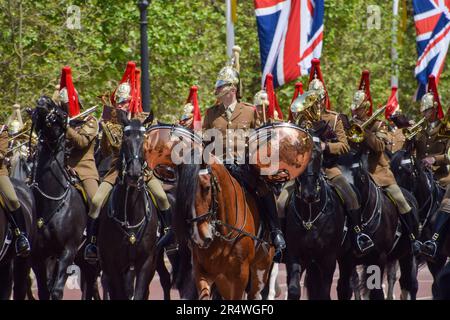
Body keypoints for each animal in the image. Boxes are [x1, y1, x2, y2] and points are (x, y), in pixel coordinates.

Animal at [29, 97, 88, 300]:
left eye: (62, 114)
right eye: (35, 112)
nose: (43, 100)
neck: (51, 200)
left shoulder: (67, 251)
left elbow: (55, 291)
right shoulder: (39, 255)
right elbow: (44, 291)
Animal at [98, 118, 158, 300]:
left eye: (144, 140)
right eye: (125, 139)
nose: (134, 173)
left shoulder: (146, 262)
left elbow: (138, 293)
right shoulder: (112, 264)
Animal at [175, 162, 274, 300]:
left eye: (207, 188)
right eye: (184, 193)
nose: (200, 236)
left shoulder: (240, 275)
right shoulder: (202, 271)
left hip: (261, 269)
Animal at [286, 138, 346, 300]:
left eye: (319, 155)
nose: (309, 194)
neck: (310, 215)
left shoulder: (328, 257)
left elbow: (324, 293)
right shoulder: (295, 253)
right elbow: (294, 290)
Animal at [338, 150, 418, 300]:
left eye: (360, 175)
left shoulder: (379, 258)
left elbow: (376, 291)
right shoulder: (345, 260)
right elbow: (349, 287)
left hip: (407, 255)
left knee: (406, 282)